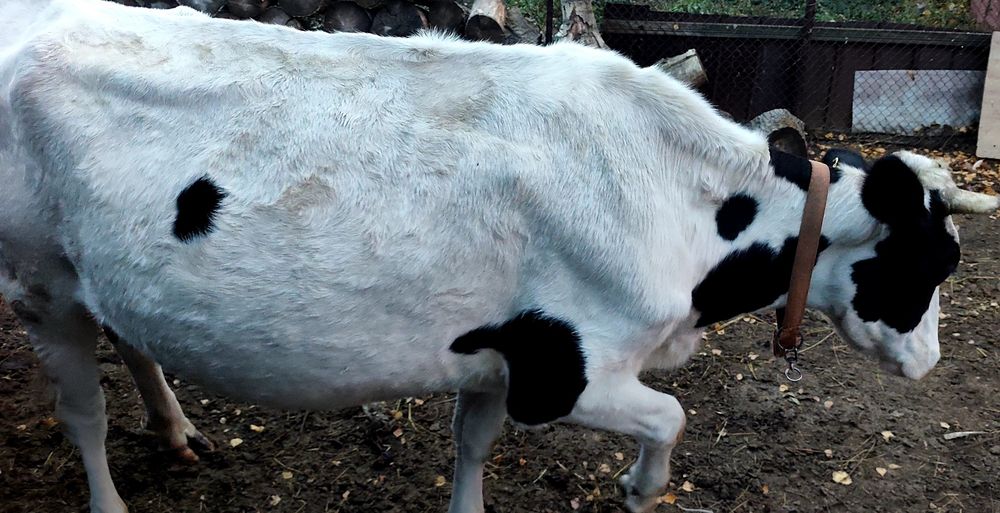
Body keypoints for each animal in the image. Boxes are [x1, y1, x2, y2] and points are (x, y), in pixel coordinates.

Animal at [1, 1, 998, 512]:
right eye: (933, 265)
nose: (930, 359)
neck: (680, 203)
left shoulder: (492, 351)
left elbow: (472, 444)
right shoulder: (565, 371)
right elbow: (672, 415)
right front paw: (640, 489)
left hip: (98, 273)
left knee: (130, 334)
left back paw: (176, 431)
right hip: (38, 278)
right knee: (81, 413)